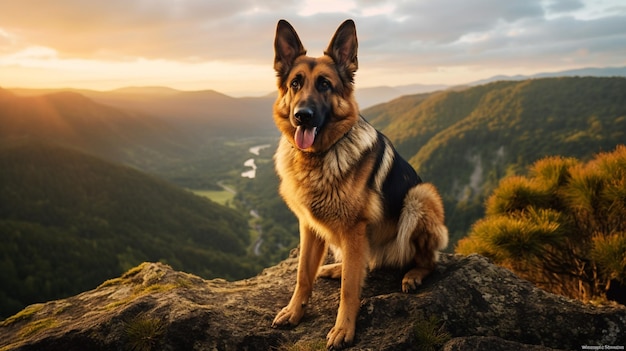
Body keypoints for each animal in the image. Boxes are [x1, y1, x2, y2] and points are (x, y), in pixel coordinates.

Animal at [270, 19, 446, 350]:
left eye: (325, 84)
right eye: (295, 83)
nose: (302, 116)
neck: (320, 157)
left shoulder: (354, 229)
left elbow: (350, 289)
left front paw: (343, 330)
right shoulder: (308, 227)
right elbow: (302, 274)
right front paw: (294, 311)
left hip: (420, 196)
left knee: (428, 261)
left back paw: (413, 274)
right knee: (364, 263)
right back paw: (335, 268)